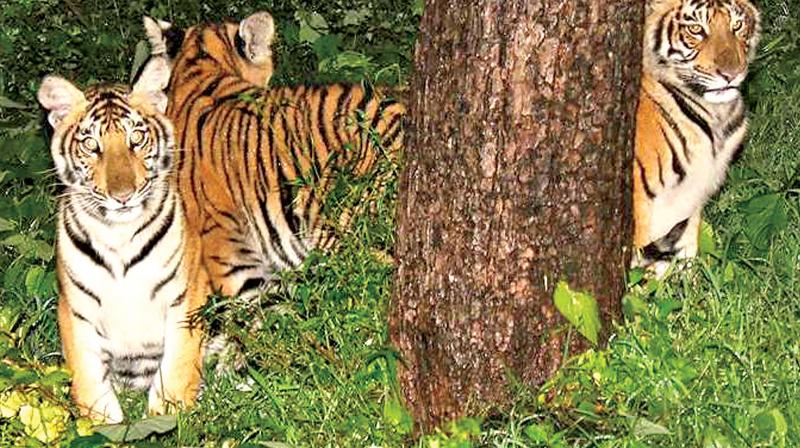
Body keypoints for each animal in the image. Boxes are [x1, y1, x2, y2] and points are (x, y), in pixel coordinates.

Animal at [38, 55, 208, 420]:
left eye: (137, 138)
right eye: (91, 145)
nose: (123, 196)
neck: (119, 234)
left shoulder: (185, 295)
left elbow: (177, 364)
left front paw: (169, 415)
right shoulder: (75, 309)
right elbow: (88, 377)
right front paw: (102, 423)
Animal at [636, 0, 760, 272]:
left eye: (737, 25)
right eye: (695, 29)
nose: (731, 73)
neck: (718, 117)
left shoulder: (695, 189)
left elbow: (686, 246)